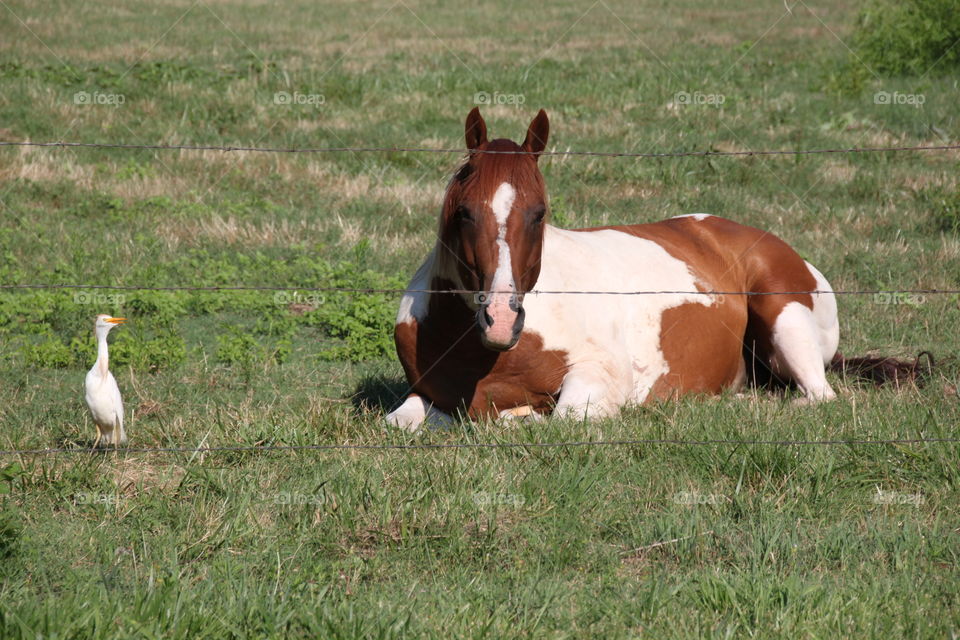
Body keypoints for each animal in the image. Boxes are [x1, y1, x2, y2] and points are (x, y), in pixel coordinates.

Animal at [386, 109, 844, 430]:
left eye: (539, 213)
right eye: (463, 213)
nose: (500, 320)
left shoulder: (599, 378)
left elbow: (558, 418)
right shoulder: (424, 395)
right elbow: (399, 421)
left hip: (785, 319)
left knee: (818, 395)